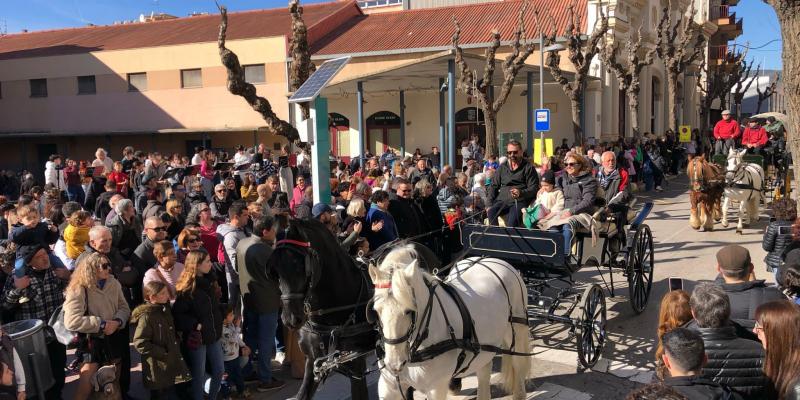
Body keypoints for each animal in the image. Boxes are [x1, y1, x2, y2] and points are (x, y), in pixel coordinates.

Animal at [368, 247, 532, 400]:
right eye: (376, 310)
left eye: (409, 310)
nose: (394, 364)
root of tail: (493, 259)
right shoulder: (389, 387)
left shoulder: (436, 387)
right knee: (484, 372)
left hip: (517, 331)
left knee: (518, 363)